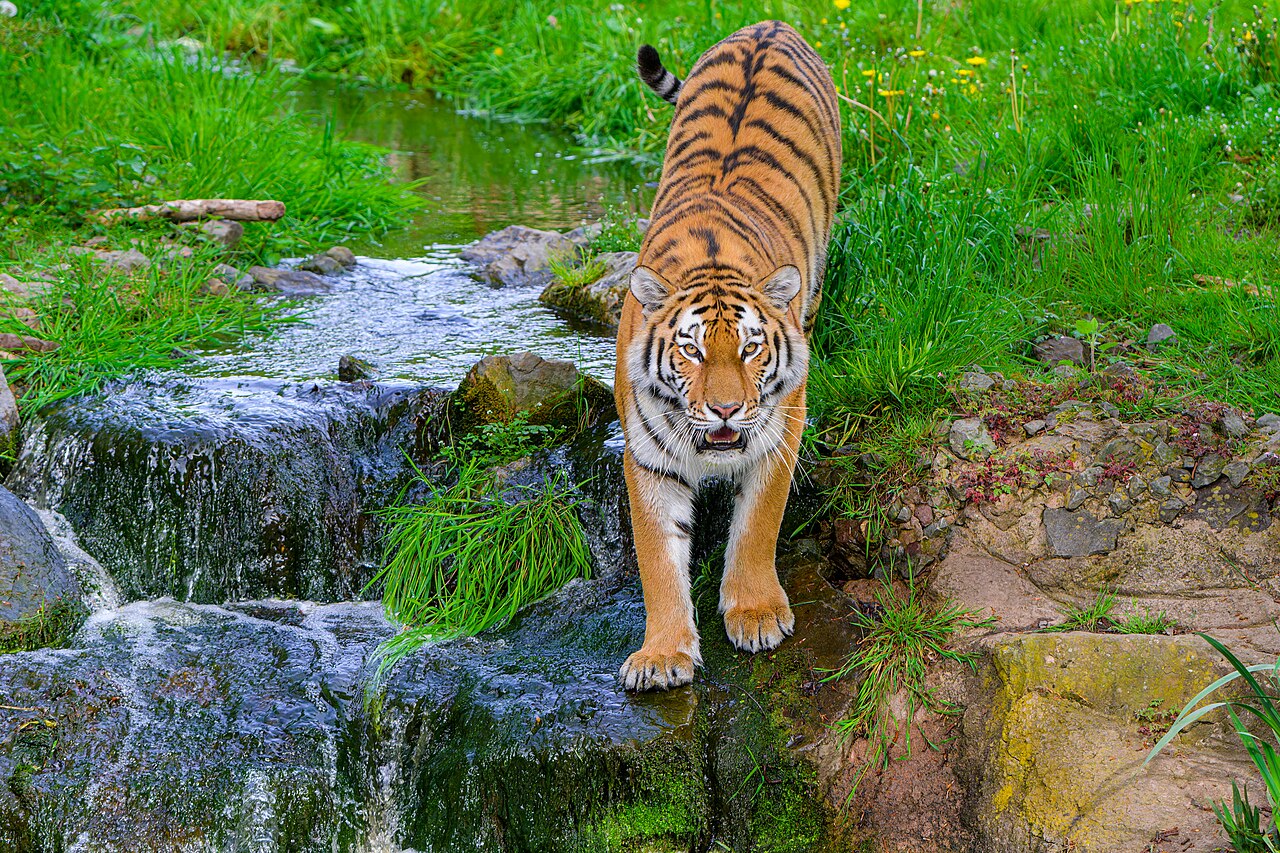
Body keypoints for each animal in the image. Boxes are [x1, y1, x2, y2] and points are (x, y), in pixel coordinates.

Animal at [615, 21, 842, 691]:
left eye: (750, 348)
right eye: (689, 350)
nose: (723, 411)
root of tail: (770, 25)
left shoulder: (780, 425)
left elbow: (757, 524)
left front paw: (756, 614)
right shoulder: (649, 458)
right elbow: (657, 558)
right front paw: (663, 653)